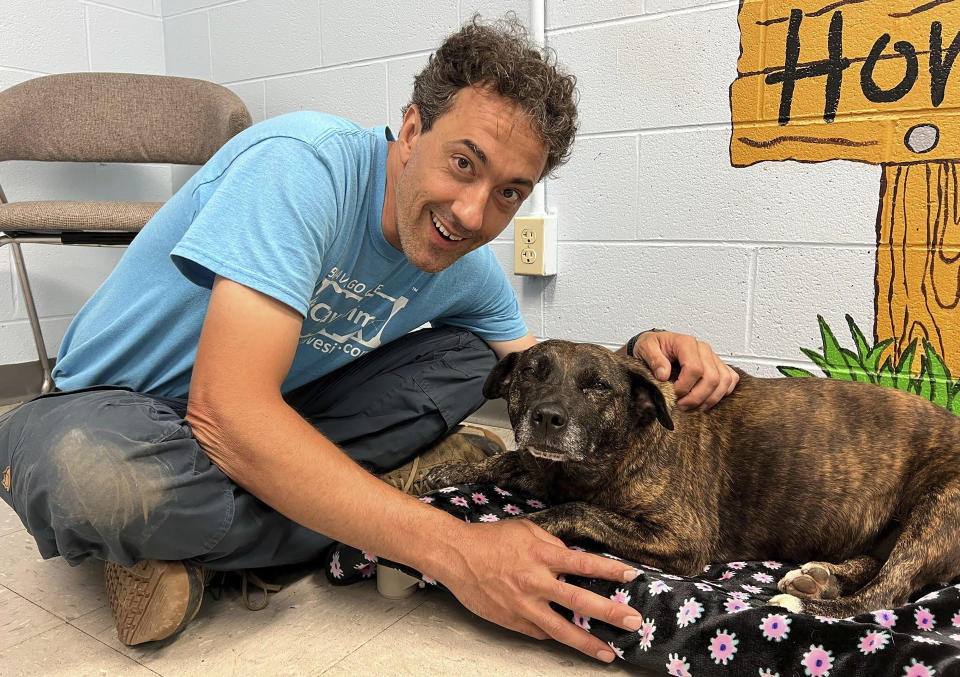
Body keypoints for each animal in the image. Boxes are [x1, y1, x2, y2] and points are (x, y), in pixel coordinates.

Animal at [424, 340, 960, 616]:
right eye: (531, 373)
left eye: (598, 386)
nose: (548, 417)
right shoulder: (546, 467)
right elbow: (512, 461)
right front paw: (453, 468)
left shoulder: (683, 539)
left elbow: (576, 509)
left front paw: (514, 528)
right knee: (878, 566)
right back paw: (818, 578)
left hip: (938, 508)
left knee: (887, 592)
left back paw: (803, 602)